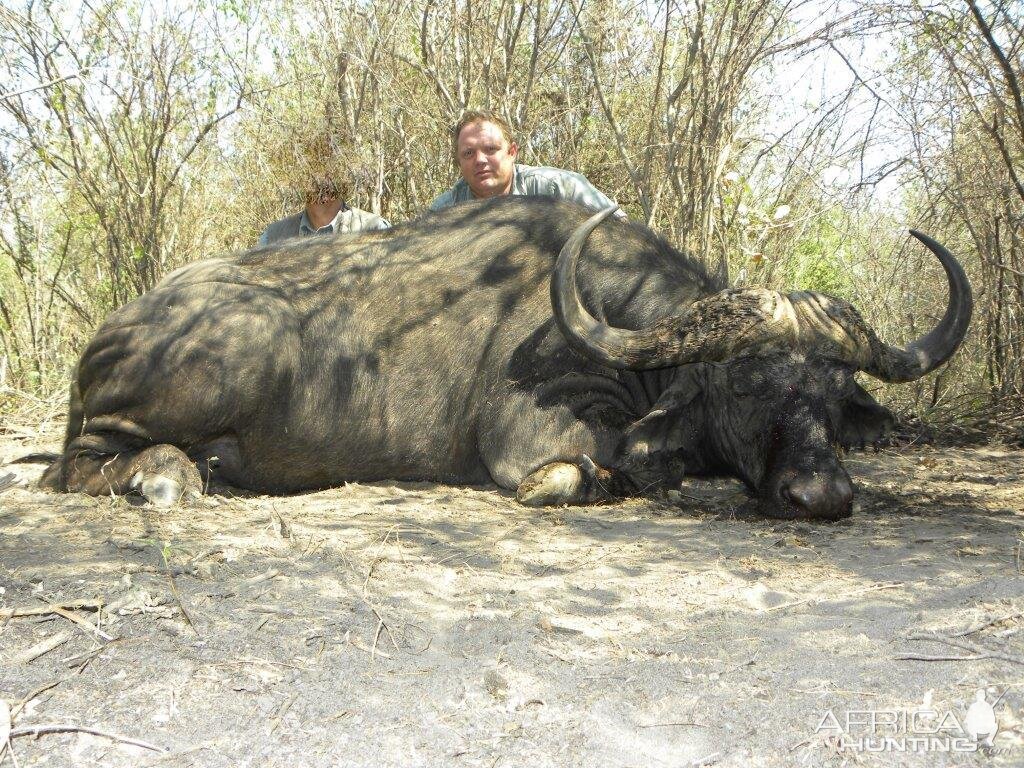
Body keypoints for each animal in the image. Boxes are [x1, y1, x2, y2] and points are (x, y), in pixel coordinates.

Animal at [37, 198, 966, 524]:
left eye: (833, 393)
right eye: (745, 383)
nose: (821, 495)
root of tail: (113, 330)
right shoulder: (536, 437)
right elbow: (600, 470)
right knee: (81, 463)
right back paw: (167, 477)